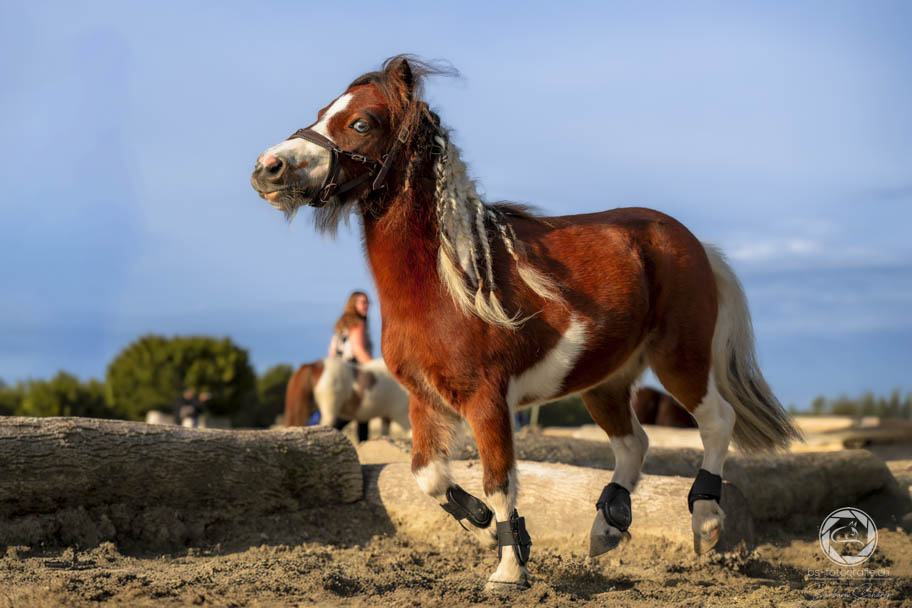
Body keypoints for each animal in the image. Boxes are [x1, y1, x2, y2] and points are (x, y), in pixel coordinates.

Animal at [250, 55, 801, 593]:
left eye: (362, 122)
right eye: (322, 111)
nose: (266, 169)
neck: (448, 281)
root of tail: (695, 244)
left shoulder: (487, 400)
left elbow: (500, 482)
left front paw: (509, 570)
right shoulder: (425, 399)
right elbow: (427, 474)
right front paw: (481, 526)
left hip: (680, 358)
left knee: (716, 421)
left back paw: (705, 521)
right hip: (604, 379)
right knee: (634, 442)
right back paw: (607, 527)